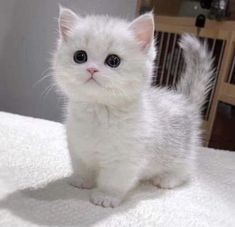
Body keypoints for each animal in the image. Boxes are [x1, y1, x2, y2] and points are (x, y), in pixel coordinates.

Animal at [52, 6, 213, 207]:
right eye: (80, 56)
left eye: (113, 60)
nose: (91, 69)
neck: (99, 112)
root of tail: (184, 100)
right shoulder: (77, 146)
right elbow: (82, 165)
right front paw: (82, 180)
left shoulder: (126, 159)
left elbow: (114, 180)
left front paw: (106, 196)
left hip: (182, 151)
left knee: (185, 169)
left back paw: (167, 179)